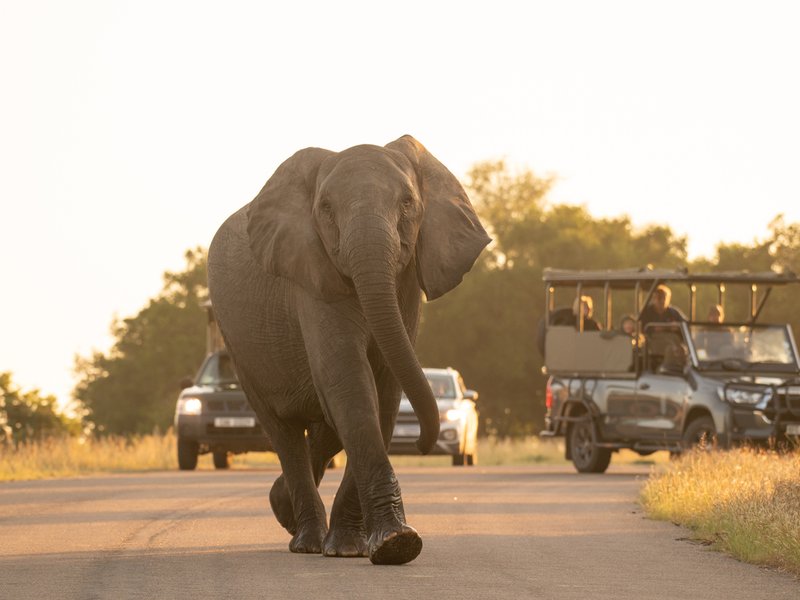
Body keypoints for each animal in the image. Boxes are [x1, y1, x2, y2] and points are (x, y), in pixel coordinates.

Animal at [207, 135, 489, 565]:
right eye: (325, 209)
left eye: (408, 202)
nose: (422, 443)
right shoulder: (310, 272)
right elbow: (350, 381)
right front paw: (396, 544)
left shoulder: (406, 281)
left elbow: (384, 390)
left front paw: (365, 547)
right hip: (238, 343)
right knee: (284, 432)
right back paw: (305, 540)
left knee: (323, 429)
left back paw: (283, 509)